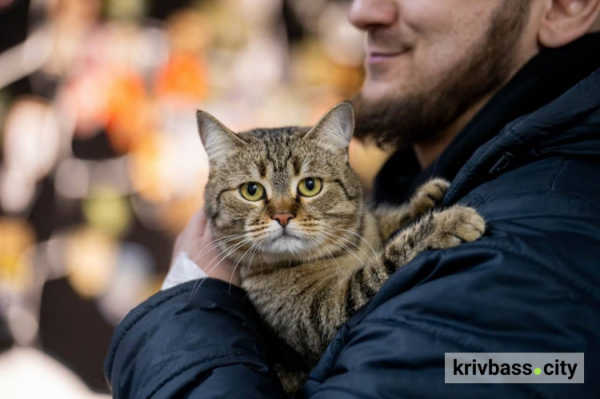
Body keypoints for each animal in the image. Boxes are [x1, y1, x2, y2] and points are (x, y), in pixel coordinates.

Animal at [199, 101, 486, 392]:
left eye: (310, 185)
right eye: (252, 190)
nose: (282, 216)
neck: (342, 252)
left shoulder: (365, 230)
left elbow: (381, 224)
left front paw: (425, 198)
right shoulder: (323, 316)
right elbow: (383, 265)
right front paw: (444, 223)